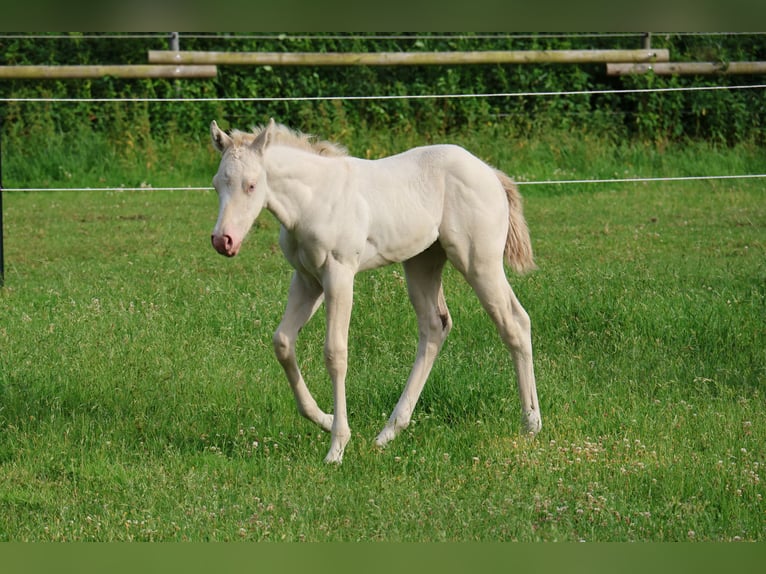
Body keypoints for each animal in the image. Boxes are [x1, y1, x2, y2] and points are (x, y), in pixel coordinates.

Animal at [209, 118, 541, 463]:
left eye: (251, 185)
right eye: (217, 184)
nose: (223, 241)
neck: (313, 200)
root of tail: (490, 173)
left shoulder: (339, 275)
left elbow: (335, 353)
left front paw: (337, 446)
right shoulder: (307, 280)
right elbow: (283, 343)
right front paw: (325, 419)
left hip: (479, 262)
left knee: (516, 323)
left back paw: (530, 424)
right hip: (422, 262)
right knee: (434, 328)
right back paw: (389, 431)